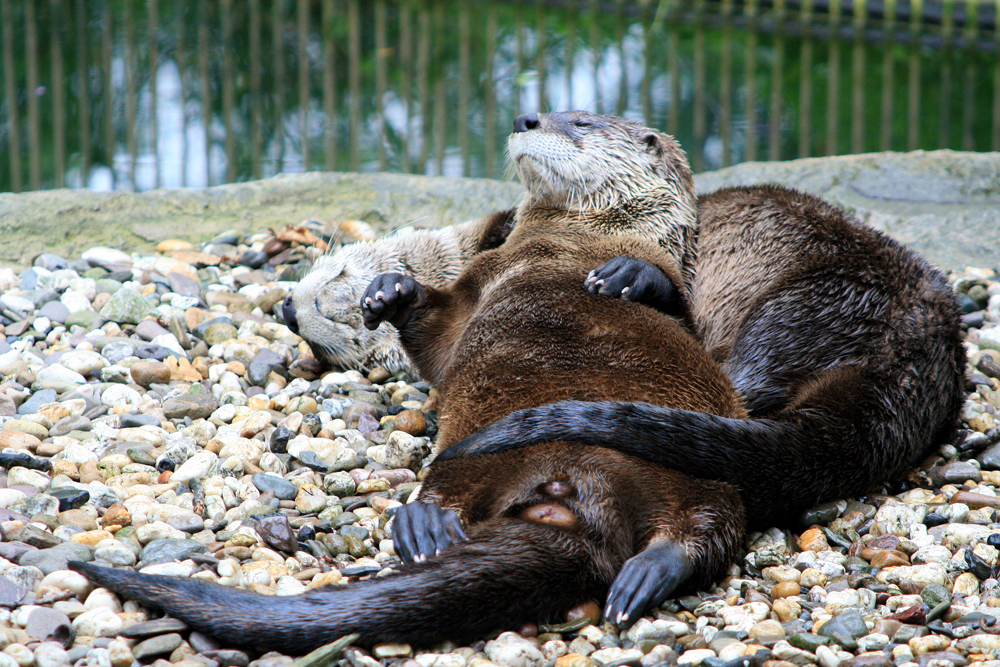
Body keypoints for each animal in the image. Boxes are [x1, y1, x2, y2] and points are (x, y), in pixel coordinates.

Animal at [70, 113, 744, 652]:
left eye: (580, 120)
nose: (527, 117)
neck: (572, 240)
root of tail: (582, 488)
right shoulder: (476, 287)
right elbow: (438, 335)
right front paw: (392, 290)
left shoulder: (671, 274)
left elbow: (674, 296)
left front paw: (628, 276)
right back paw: (428, 525)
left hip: (699, 472)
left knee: (705, 531)